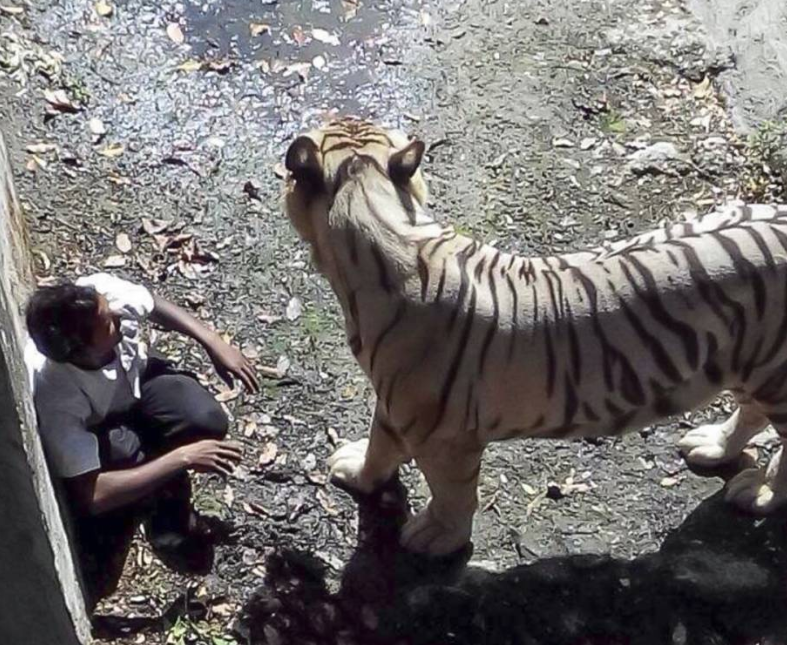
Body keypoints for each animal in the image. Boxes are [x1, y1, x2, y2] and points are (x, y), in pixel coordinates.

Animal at [283, 116, 787, 556]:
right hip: (749, 364)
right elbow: (380, 443)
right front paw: (358, 471)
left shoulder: (441, 434)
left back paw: (760, 493)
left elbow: (452, 492)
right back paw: (713, 445)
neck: (374, 207)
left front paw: (437, 538)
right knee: (749, 413)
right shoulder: (397, 403)